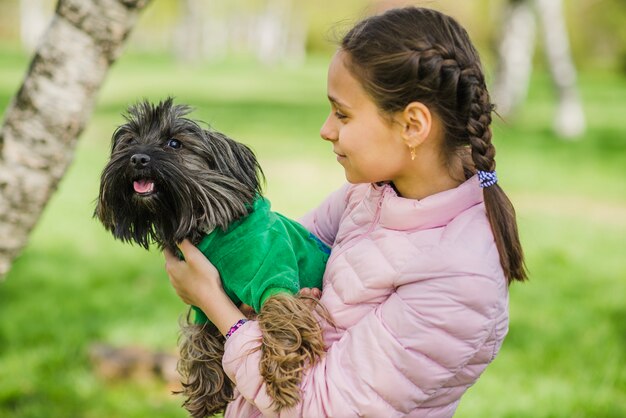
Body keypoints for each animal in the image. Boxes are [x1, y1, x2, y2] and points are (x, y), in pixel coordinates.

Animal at [95, 97, 330, 414]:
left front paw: (281, 377)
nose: (137, 158)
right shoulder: (202, 306)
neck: (208, 232)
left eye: (174, 143)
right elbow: (200, 337)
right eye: (130, 140)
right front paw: (206, 393)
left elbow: (278, 316)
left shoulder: (273, 276)